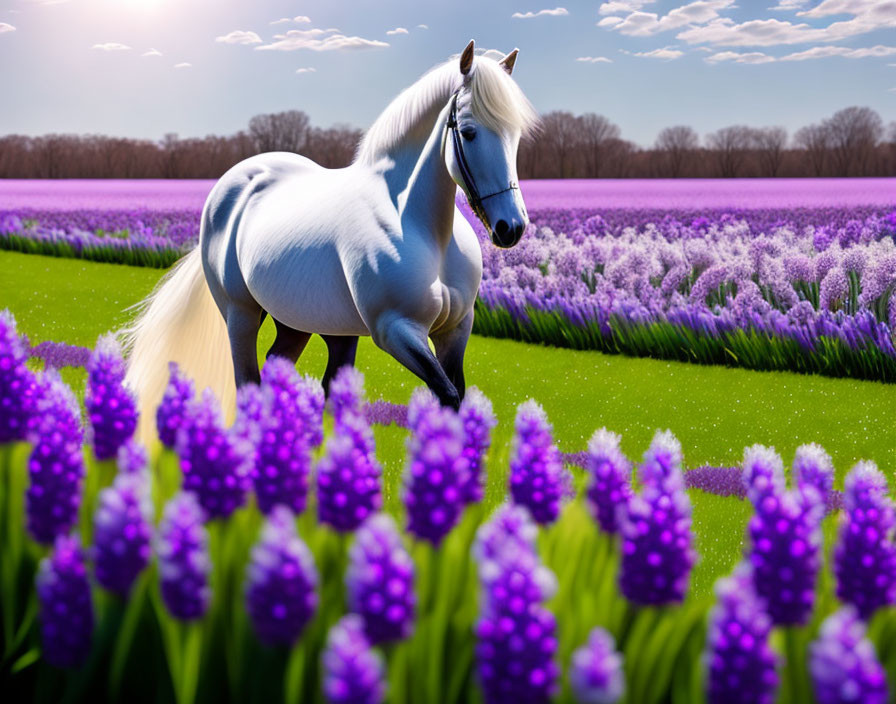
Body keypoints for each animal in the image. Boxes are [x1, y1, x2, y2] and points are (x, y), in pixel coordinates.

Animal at [122, 41, 536, 434]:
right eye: (468, 132)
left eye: (514, 135)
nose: (511, 227)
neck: (423, 229)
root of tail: (233, 183)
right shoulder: (396, 330)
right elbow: (447, 395)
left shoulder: (456, 329)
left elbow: (455, 396)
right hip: (240, 314)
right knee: (248, 382)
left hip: (309, 324)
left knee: (292, 376)